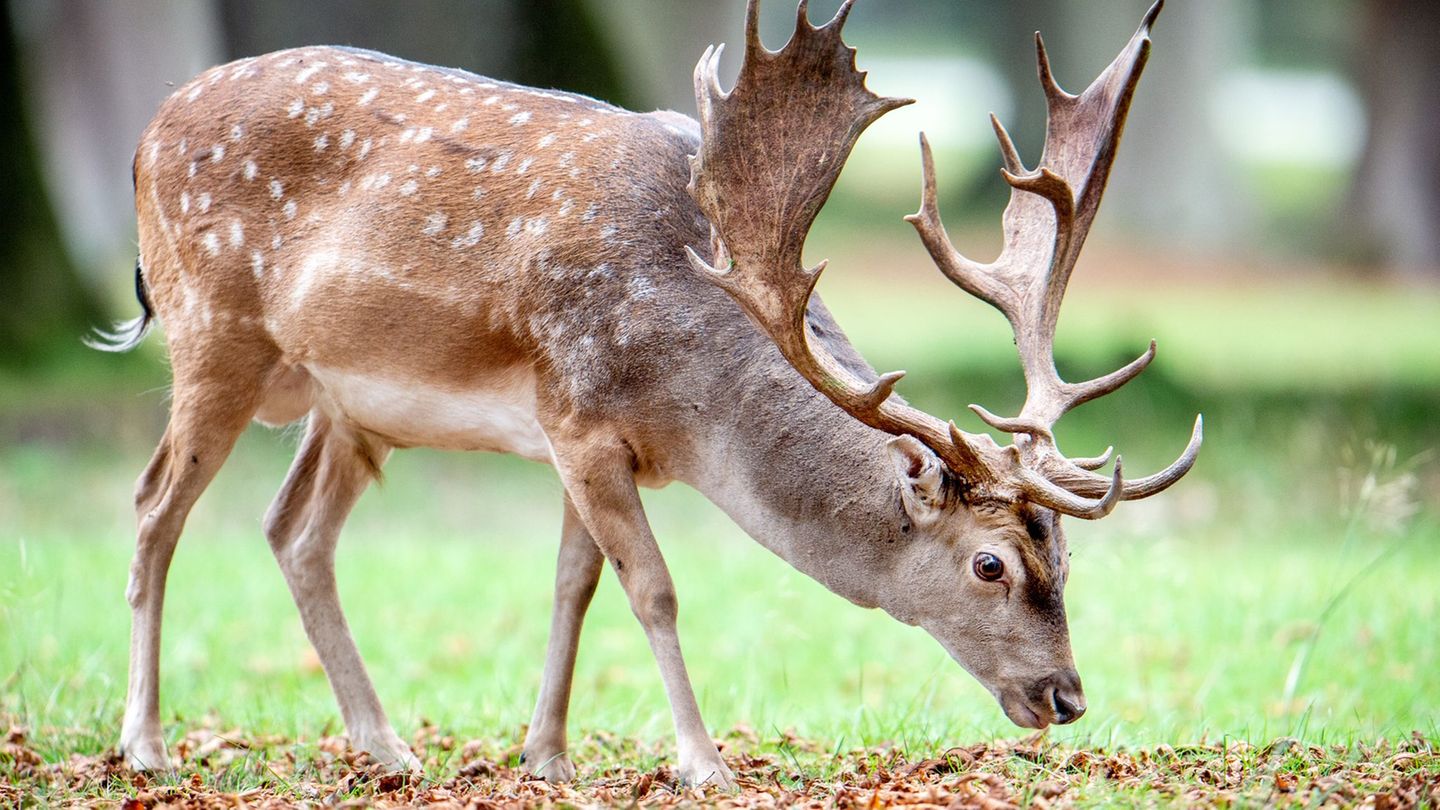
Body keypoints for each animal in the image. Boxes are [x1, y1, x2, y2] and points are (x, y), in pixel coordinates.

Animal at [97, 0, 1197, 788]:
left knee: (293, 530)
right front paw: (704, 763)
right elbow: (653, 590)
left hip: (345, 404)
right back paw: (146, 746)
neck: (691, 400)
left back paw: (384, 745)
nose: (1067, 697)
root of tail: (145, 136)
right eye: (989, 565)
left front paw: (545, 755)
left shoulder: (590, 441)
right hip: (213, 333)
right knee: (153, 505)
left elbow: (572, 584)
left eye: (1067, 559)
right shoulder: (578, 414)